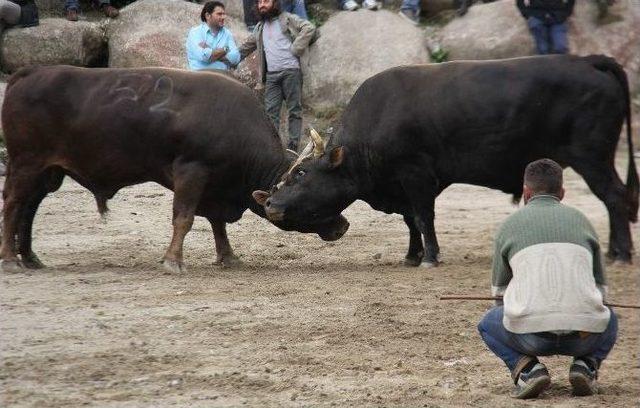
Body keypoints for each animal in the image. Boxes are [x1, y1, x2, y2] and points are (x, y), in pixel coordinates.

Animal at [1, 65, 350, 272]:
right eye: (307, 190)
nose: (343, 225)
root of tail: (28, 73)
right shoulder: (191, 172)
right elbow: (184, 218)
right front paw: (173, 261)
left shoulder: (213, 187)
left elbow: (215, 223)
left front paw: (228, 256)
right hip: (25, 164)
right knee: (14, 205)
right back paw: (10, 259)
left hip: (48, 172)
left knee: (29, 208)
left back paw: (30, 257)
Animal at [260, 54, 640, 264]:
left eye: (301, 173)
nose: (271, 205)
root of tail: (589, 59)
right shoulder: (406, 185)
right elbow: (411, 221)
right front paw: (412, 255)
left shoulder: (416, 175)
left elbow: (422, 217)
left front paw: (429, 256)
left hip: (592, 157)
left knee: (615, 197)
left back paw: (621, 254)